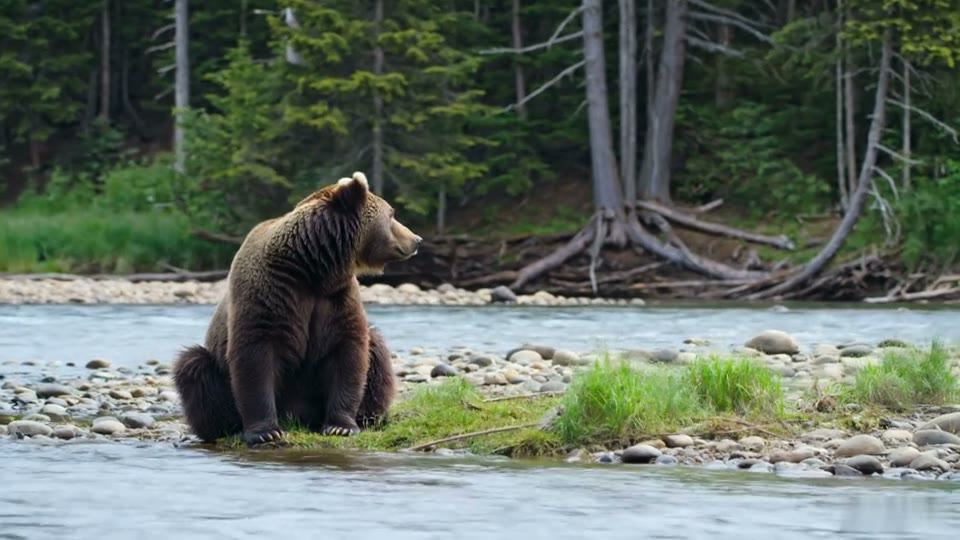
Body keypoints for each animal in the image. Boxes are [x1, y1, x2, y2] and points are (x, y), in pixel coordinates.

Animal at [171, 171, 422, 447]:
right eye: (392, 214)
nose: (417, 240)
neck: (311, 268)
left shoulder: (335, 298)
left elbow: (349, 350)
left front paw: (341, 426)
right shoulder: (269, 293)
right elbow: (254, 356)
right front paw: (265, 431)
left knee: (375, 346)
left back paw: (370, 416)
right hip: (217, 371)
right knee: (195, 367)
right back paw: (225, 428)